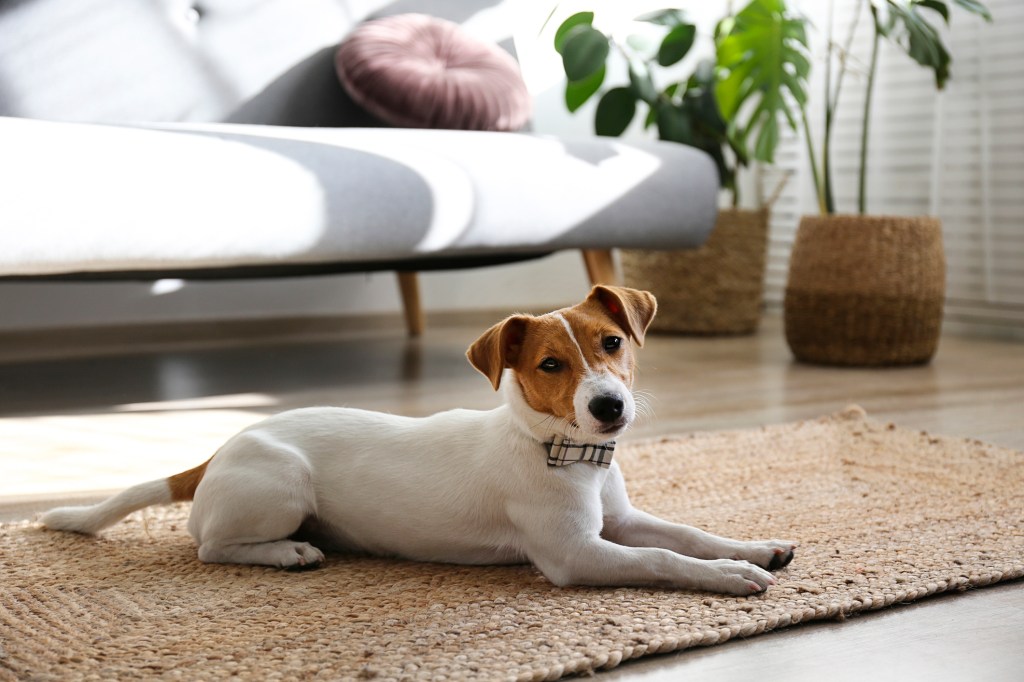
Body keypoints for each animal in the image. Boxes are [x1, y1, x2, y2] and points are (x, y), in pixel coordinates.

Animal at [39, 284, 794, 593]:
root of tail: (220, 450)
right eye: (551, 365)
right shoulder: (577, 555)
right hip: (282, 488)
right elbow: (665, 559)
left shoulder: (623, 521)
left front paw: (755, 548)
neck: (563, 451)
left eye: (613, 343)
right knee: (210, 547)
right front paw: (732, 577)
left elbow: (686, 534)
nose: (609, 407)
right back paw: (286, 554)